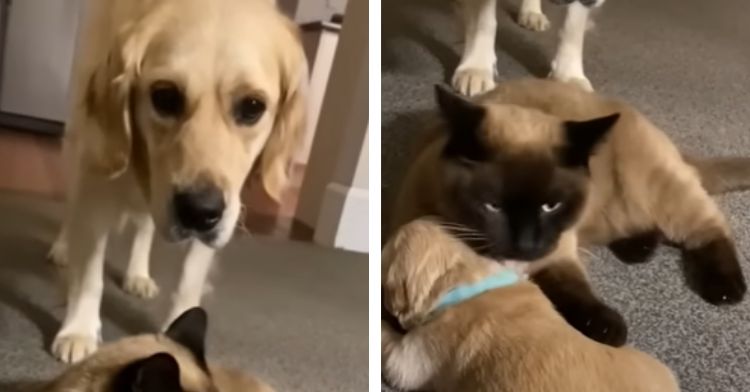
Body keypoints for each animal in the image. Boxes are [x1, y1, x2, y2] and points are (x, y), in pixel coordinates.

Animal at [46, 0, 308, 364]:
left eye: (253, 106)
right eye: (165, 97)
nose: (199, 211)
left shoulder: (219, 209)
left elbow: (188, 281)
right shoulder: (97, 174)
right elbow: (89, 274)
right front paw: (79, 330)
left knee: (145, 227)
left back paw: (138, 274)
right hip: (77, 145)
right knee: (72, 208)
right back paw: (63, 247)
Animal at [390, 79, 748, 346]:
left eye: (551, 206)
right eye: (494, 206)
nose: (525, 244)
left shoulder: (556, 252)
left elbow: (572, 290)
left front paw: (610, 330)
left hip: (660, 192)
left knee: (710, 227)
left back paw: (726, 289)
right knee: (645, 228)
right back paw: (639, 249)